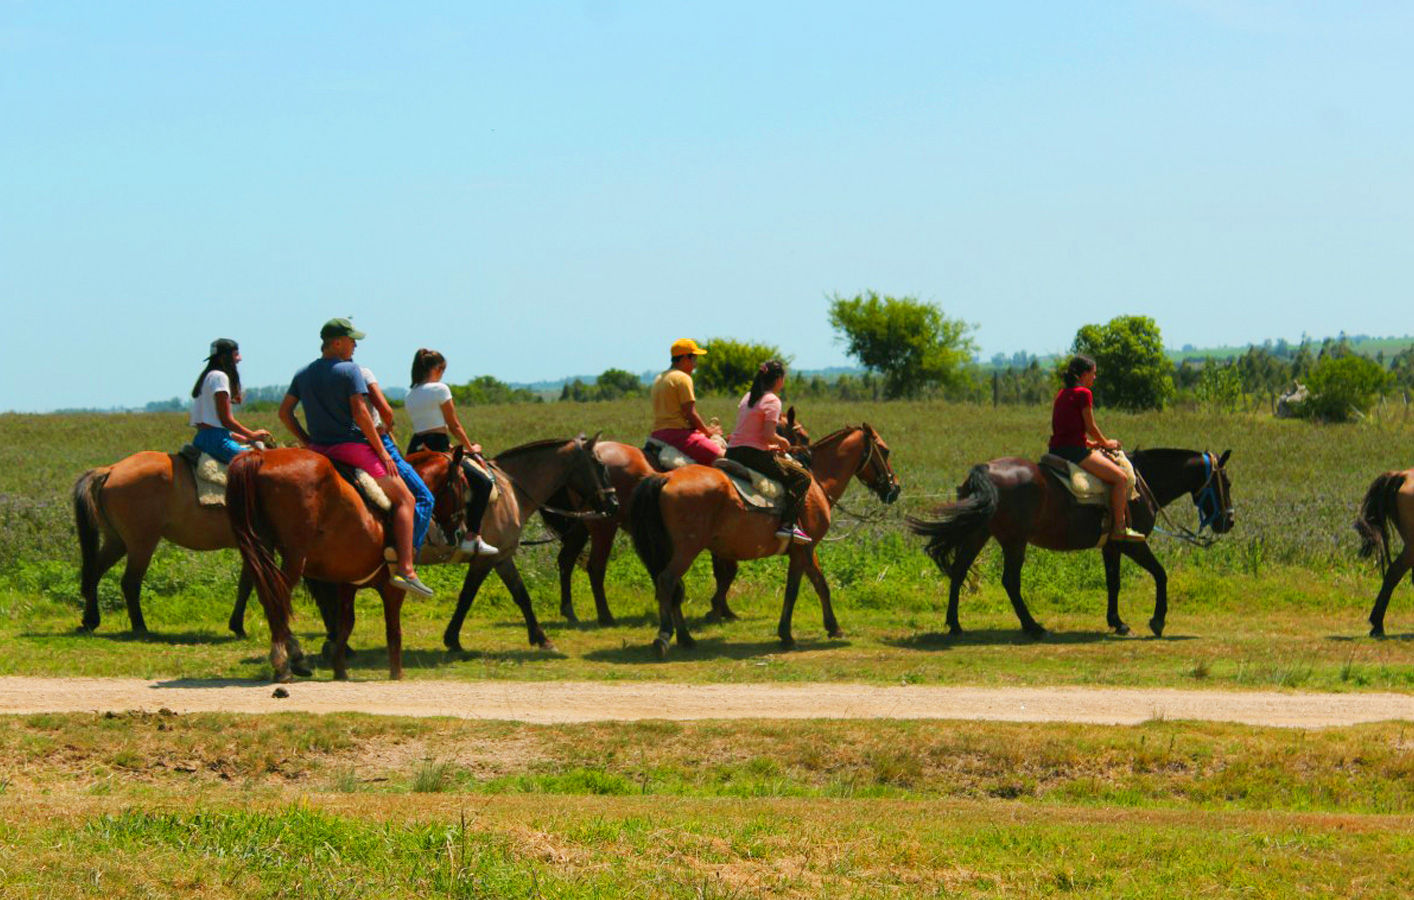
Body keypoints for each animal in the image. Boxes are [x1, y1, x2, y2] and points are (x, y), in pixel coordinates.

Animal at [71, 447, 255, 633]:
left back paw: (90, 621)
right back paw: (139, 626)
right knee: (130, 582)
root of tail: (111, 469)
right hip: (142, 544)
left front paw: (237, 625)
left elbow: (245, 584)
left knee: (94, 574)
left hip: (116, 541)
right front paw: (239, 627)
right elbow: (249, 585)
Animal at [226, 444, 475, 682]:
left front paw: (340, 670)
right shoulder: (392, 588)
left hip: (262, 548)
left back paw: (294, 657)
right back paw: (283, 661)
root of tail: (260, 457)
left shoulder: (346, 583)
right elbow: (393, 628)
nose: (461, 532)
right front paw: (396, 672)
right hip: (294, 557)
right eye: (463, 483)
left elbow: (346, 623)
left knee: (268, 595)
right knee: (278, 596)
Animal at [627, 424, 893, 656]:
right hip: (686, 550)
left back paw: (685, 638)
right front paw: (787, 635)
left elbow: (820, 585)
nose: (895, 488)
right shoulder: (802, 551)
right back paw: (665, 637)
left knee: (674, 587)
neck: (817, 482)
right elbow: (795, 590)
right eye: (885, 450)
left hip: (668, 549)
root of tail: (666, 478)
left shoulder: (807, 549)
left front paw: (833, 627)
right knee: (667, 581)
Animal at [910, 447, 1233, 636]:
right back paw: (1032, 626)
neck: (1140, 484)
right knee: (1010, 580)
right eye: (1227, 483)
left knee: (959, 570)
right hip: (1014, 541)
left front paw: (1117, 621)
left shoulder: (1112, 546)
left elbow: (1113, 582)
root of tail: (986, 469)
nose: (1228, 521)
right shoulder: (1132, 543)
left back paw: (955, 624)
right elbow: (1160, 574)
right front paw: (1157, 620)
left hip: (979, 532)